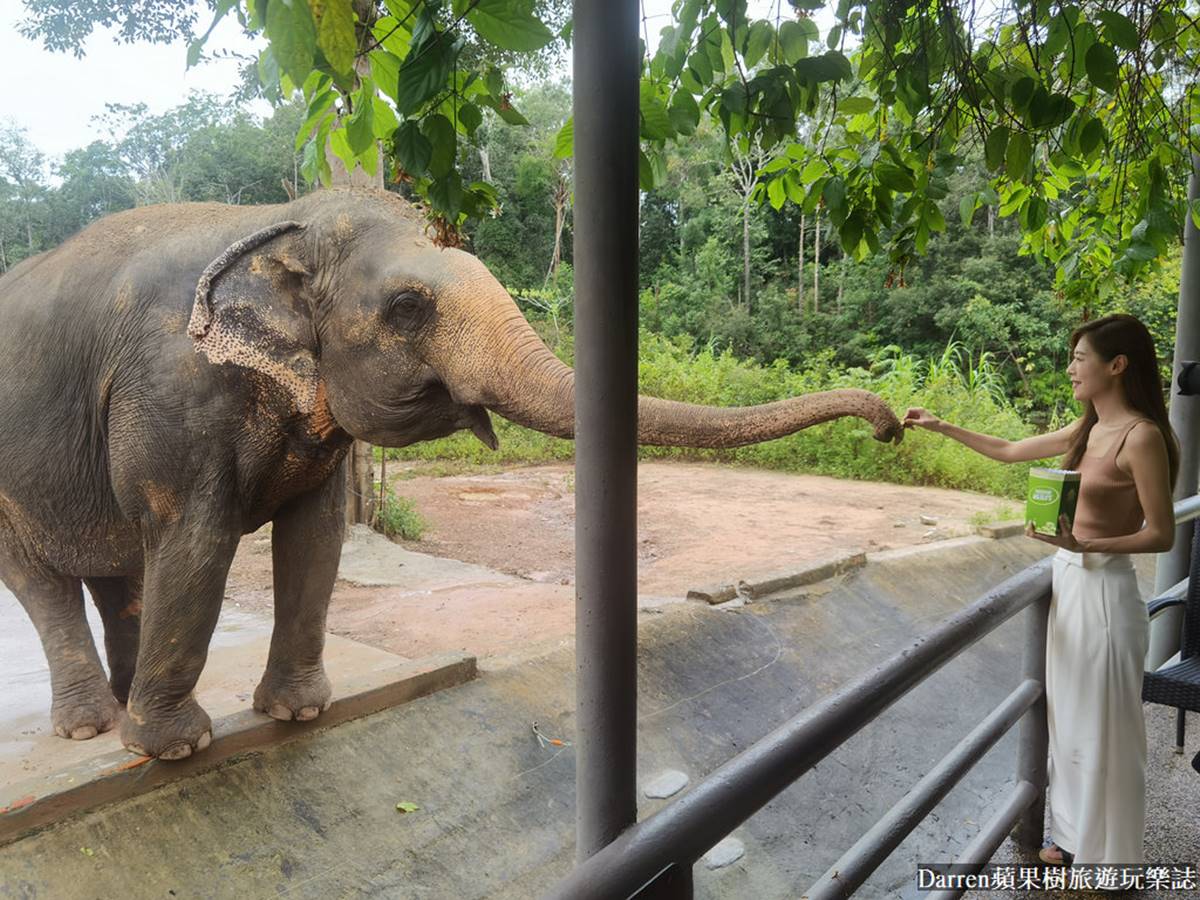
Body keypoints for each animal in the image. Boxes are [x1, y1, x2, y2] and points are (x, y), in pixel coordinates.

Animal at [0, 188, 902, 763]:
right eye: (408, 308)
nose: (893, 424)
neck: (279, 224)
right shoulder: (170, 394)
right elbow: (195, 541)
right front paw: (177, 750)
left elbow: (315, 539)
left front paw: (299, 711)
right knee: (47, 580)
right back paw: (95, 729)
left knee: (119, 573)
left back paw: (120, 704)